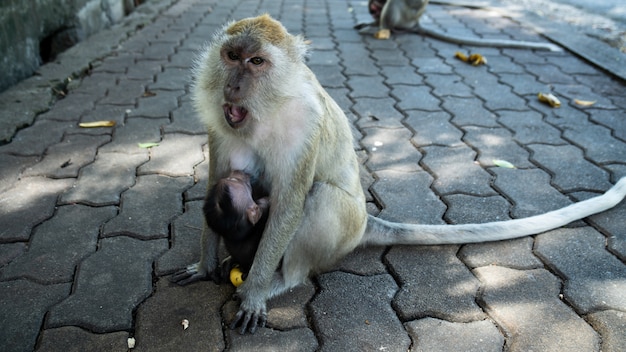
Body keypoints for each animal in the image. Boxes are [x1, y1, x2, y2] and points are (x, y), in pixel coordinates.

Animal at [172, 14, 626, 332]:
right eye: (232, 57)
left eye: (256, 61)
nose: (232, 87)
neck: (266, 111)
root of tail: (364, 223)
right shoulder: (221, 127)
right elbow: (218, 181)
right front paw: (205, 266)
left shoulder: (304, 126)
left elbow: (289, 205)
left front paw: (253, 293)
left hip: (344, 224)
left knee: (320, 198)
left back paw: (282, 279)